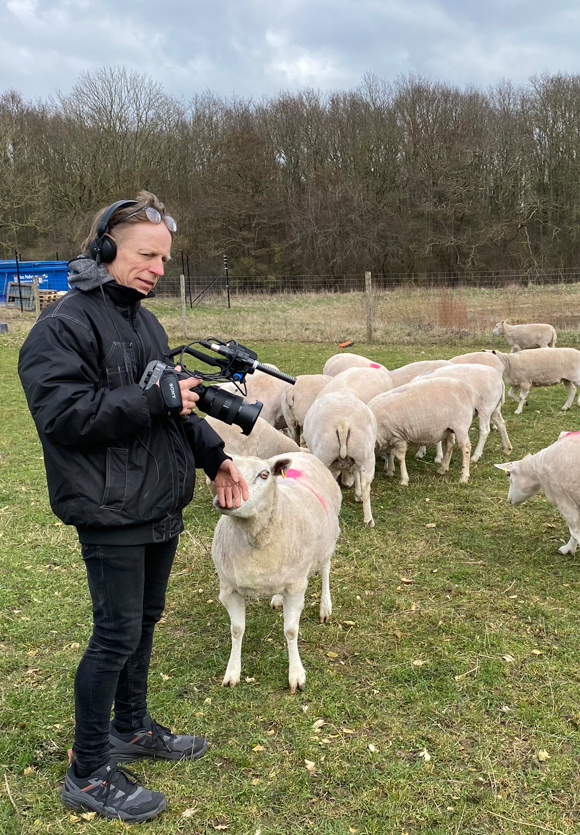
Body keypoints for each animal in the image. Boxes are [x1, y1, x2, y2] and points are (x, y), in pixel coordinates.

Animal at [210, 451, 341, 693]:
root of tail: (300, 452)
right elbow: (237, 630)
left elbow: (291, 631)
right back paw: (278, 598)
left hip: (328, 539)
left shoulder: (296, 586)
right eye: (226, 471)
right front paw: (232, 672)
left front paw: (296, 675)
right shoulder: (229, 589)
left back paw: (325, 607)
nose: (226, 500)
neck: (255, 537)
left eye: (264, 474)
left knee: (326, 569)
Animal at [303, 391, 377, 526]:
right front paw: (357, 495)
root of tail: (342, 423)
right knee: (366, 486)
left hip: (324, 453)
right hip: (367, 455)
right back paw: (368, 520)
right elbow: (355, 472)